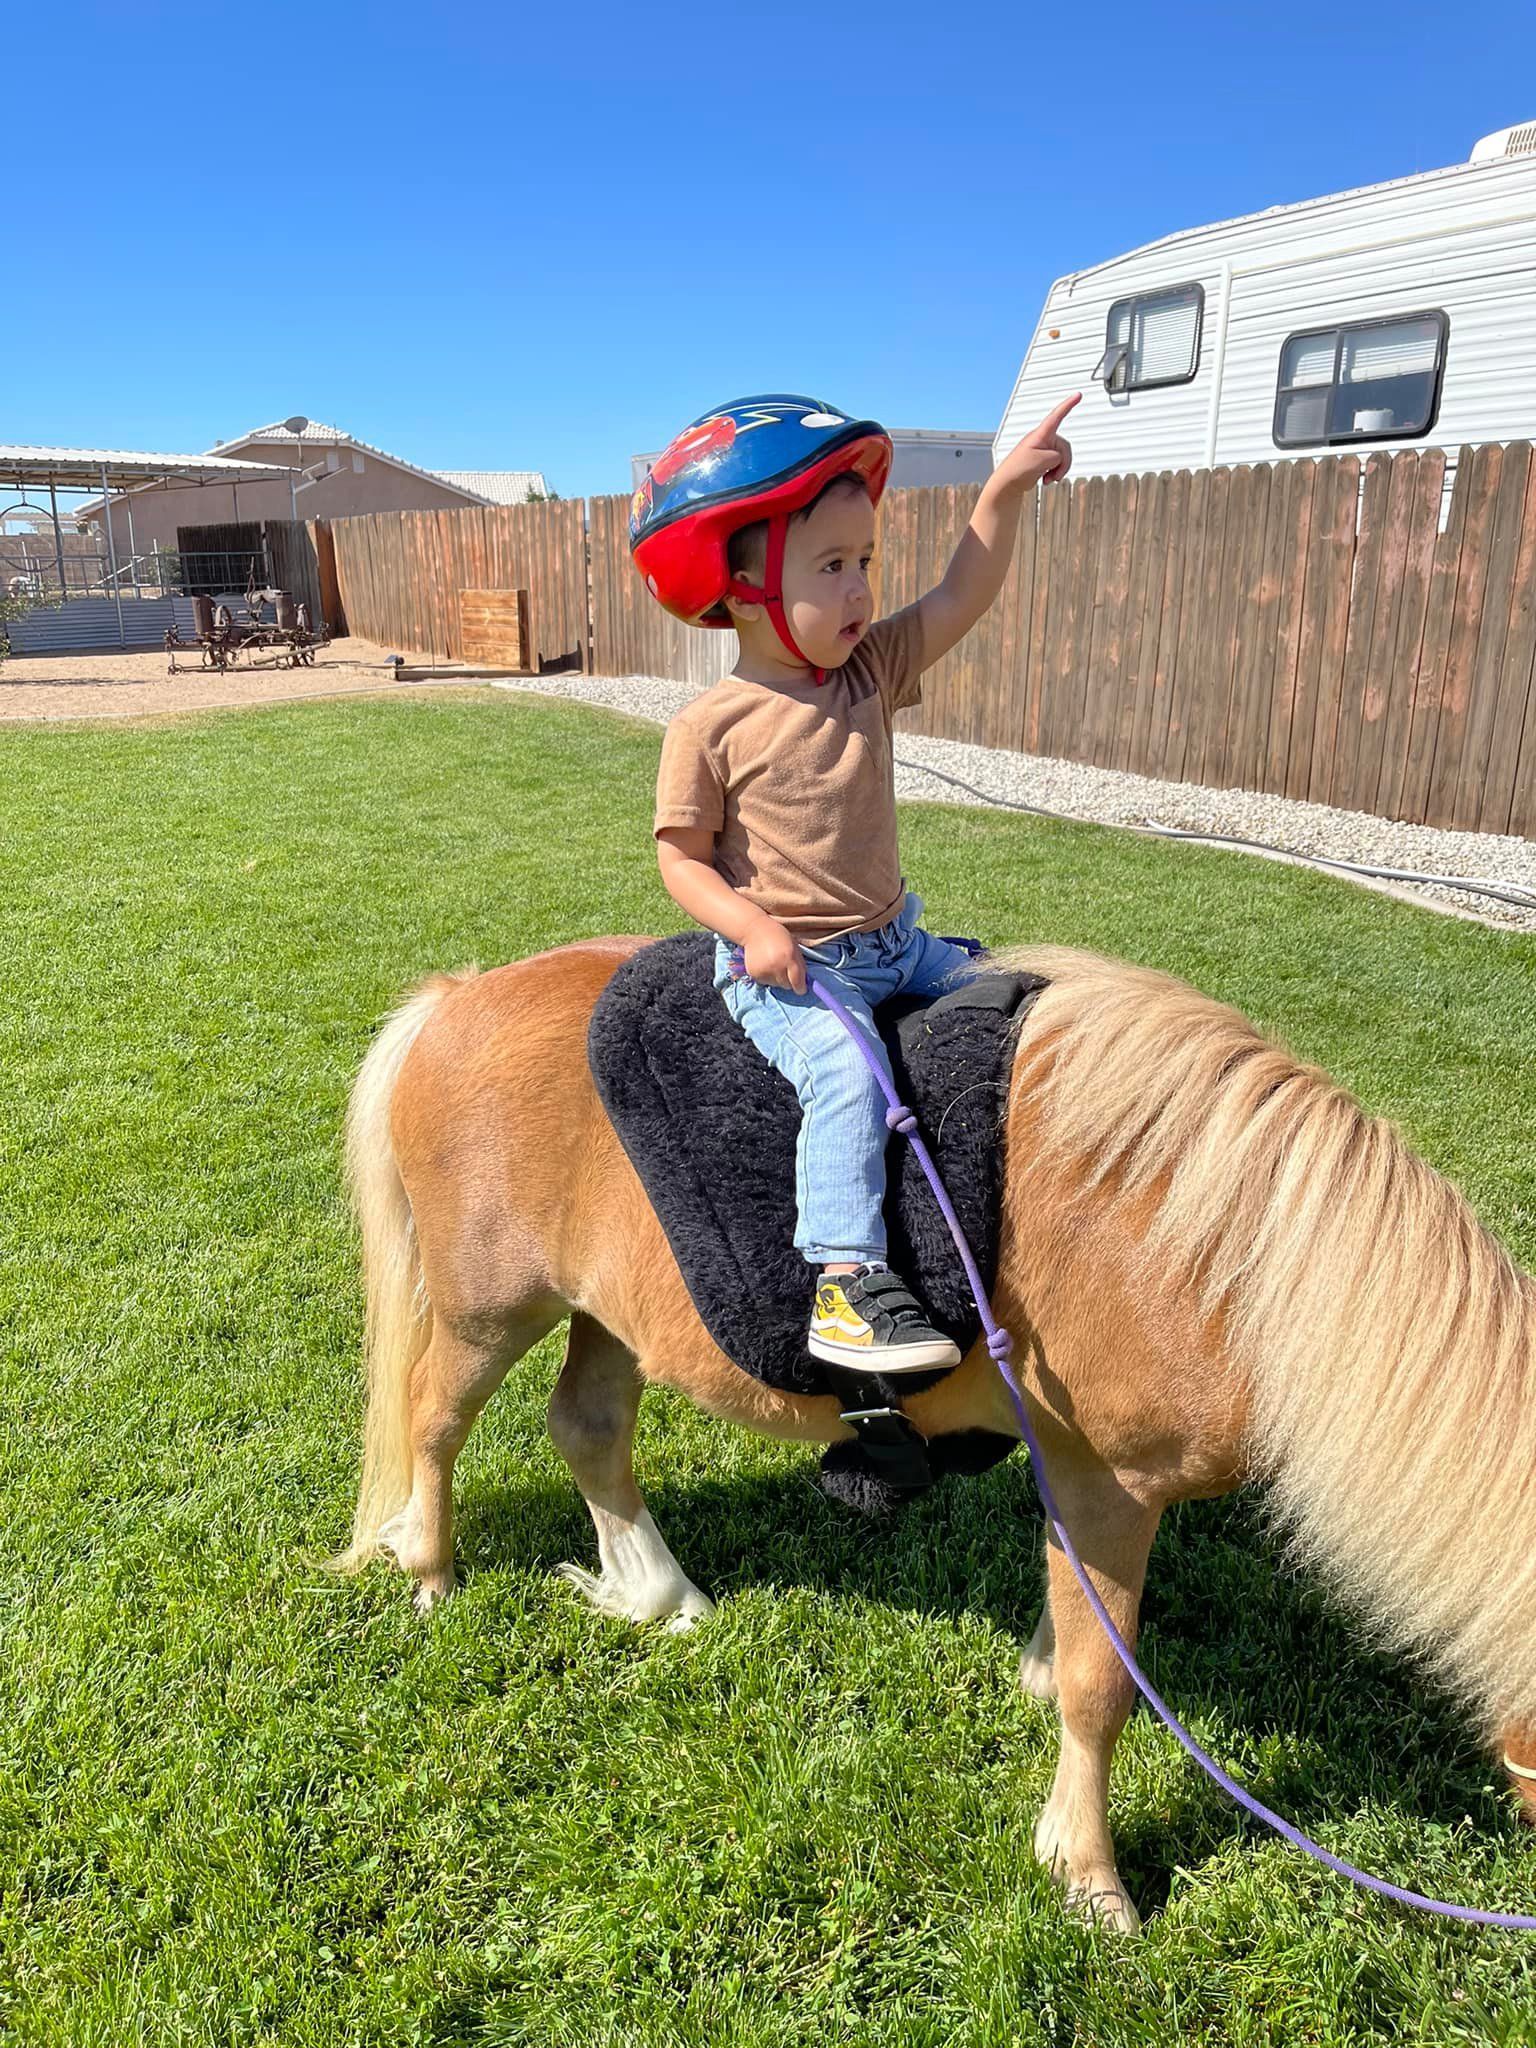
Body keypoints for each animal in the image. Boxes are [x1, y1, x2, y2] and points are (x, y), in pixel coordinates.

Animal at [332, 935, 1536, 1932]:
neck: (1226, 1249)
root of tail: (455, 999)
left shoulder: (1077, 1483)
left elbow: (1074, 1627)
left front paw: (1042, 1684)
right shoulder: (1112, 1482)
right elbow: (1104, 1685)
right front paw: (1087, 1872)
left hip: (612, 1310)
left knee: (587, 1428)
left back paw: (659, 1592)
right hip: (492, 1309)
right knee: (434, 1416)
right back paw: (428, 1567)